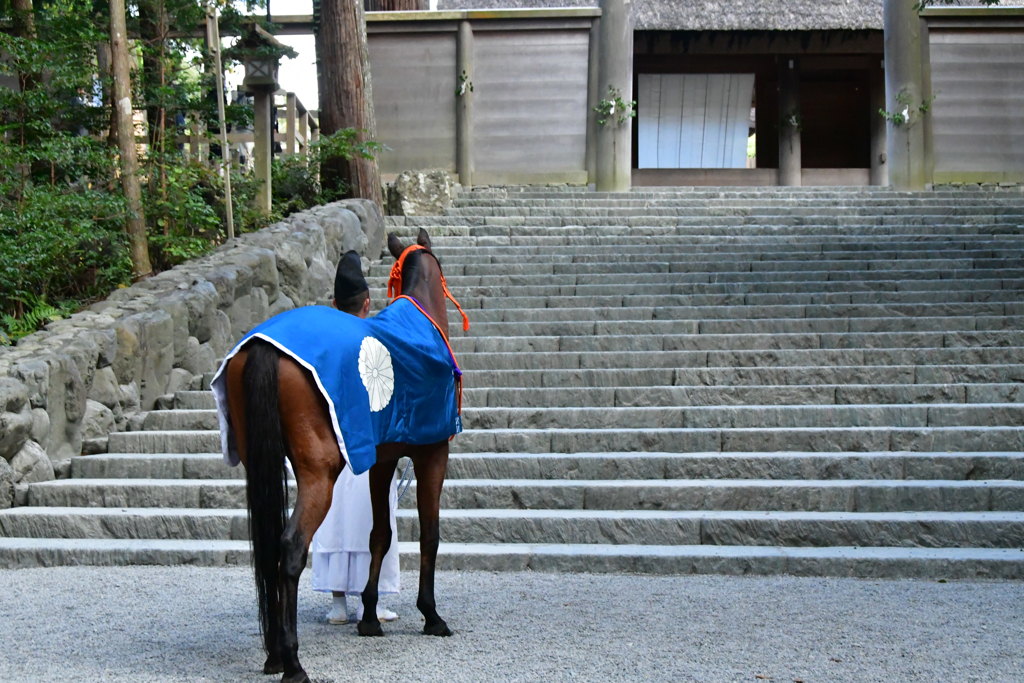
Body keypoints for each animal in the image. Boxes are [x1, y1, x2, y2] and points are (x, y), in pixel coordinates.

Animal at [228, 231, 464, 683]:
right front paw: (431, 615)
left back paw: (273, 655)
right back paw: (293, 662)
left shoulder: (381, 460)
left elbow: (379, 535)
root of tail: (266, 347)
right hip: (319, 473)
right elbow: (430, 534)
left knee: (269, 547)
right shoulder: (433, 451)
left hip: (258, 460)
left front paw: (369, 615)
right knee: (291, 547)